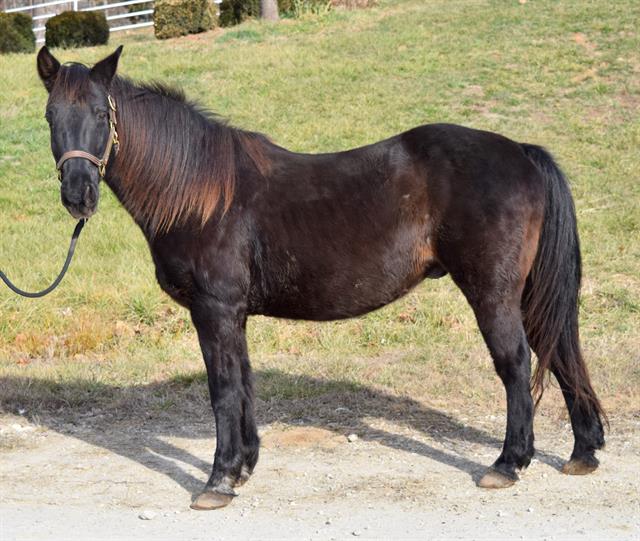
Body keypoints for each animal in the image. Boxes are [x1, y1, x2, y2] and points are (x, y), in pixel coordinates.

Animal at [35, 47, 604, 510]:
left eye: (100, 113)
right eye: (50, 116)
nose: (78, 194)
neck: (202, 195)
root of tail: (521, 151)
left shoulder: (214, 310)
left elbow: (223, 389)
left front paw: (218, 481)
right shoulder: (233, 315)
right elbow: (244, 384)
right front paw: (244, 467)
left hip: (493, 293)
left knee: (516, 364)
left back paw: (508, 463)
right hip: (527, 294)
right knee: (561, 351)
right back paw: (584, 450)